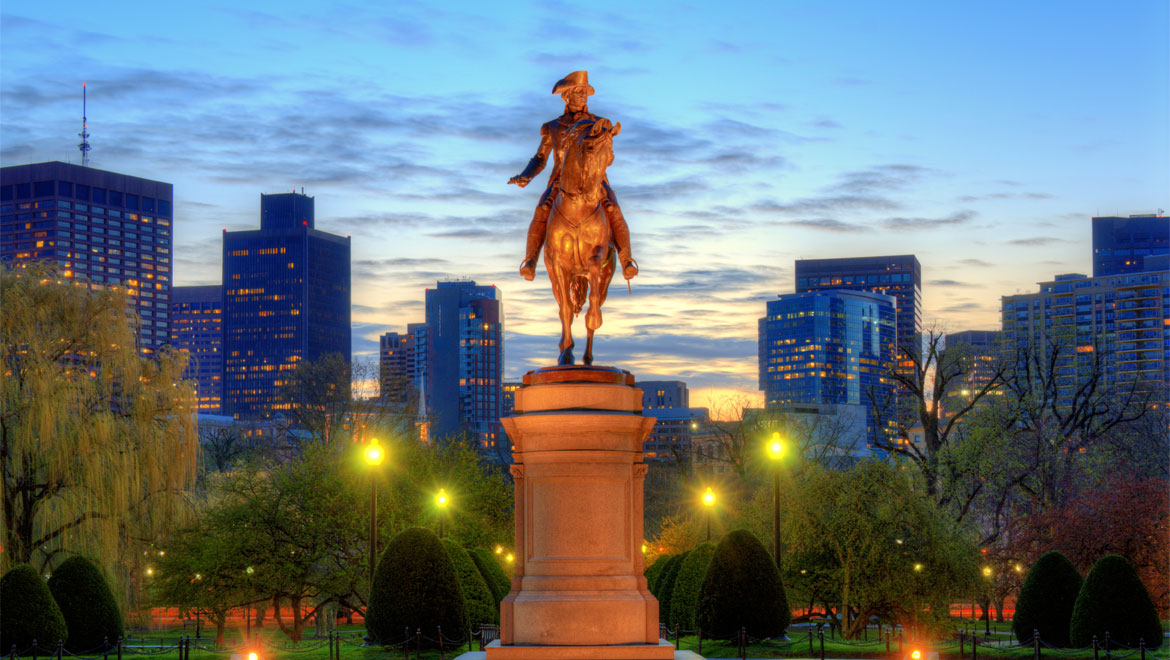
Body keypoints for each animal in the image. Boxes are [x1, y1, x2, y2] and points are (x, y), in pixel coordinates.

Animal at [542, 118, 622, 365]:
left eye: (611, 157)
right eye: (589, 149)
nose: (593, 197)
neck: (578, 208)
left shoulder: (598, 252)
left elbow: (594, 281)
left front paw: (594, 318)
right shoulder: (558, 263)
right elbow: (567, 309)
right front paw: (566, 353)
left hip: (604, 278)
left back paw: (587, 358)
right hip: (555, 278)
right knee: (562, 306)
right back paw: (564, 348)